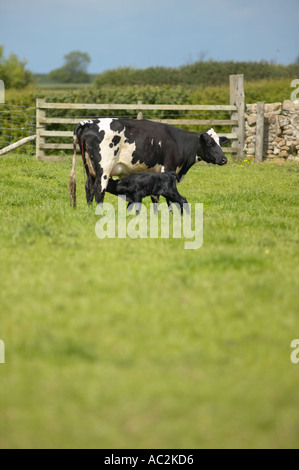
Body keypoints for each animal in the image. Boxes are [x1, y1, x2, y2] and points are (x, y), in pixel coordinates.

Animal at [69, 117, 230, 206]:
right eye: (210, 144)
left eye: (219, 143)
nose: (224, 159)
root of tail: (88, 122)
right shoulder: (168, 169)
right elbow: (169, 197)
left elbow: (155, 196)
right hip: (104, 168)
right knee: (99, 189)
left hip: (89, 168)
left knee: (88, 187)